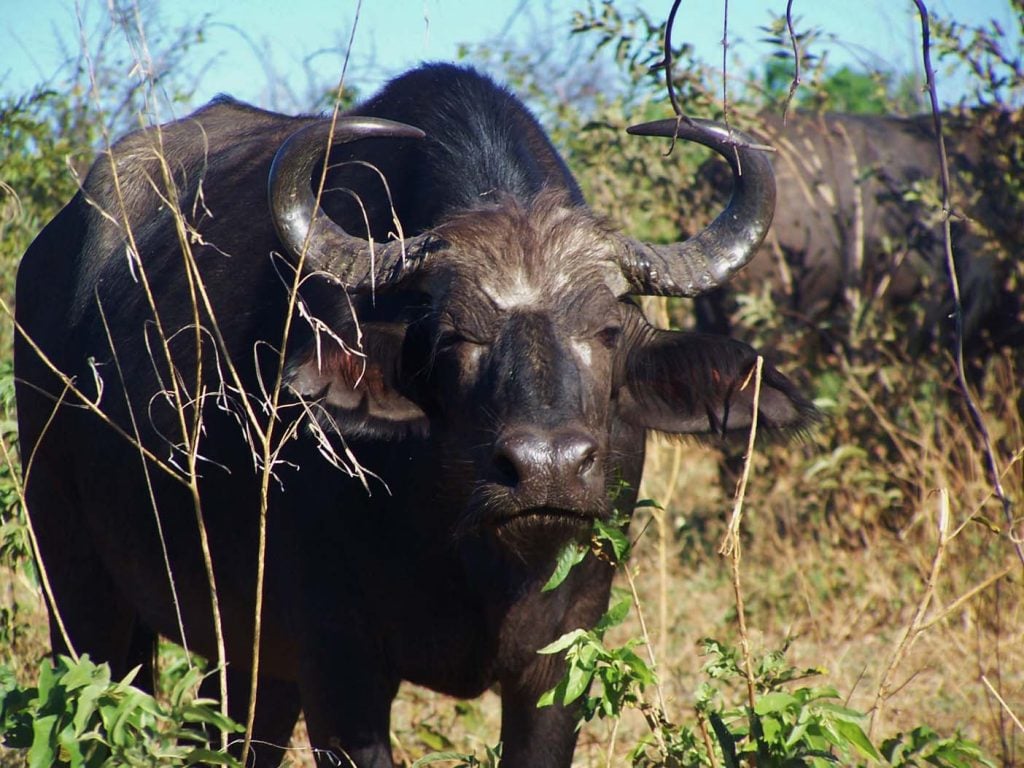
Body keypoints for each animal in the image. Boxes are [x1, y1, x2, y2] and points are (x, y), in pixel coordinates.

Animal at [14, 63, 815, 765]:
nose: (545, 470)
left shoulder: (560, 662)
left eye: (608, 333)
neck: (468, 548)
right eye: (455, 337)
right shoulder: (340, 668)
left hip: (248, 655)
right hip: (77, 586)